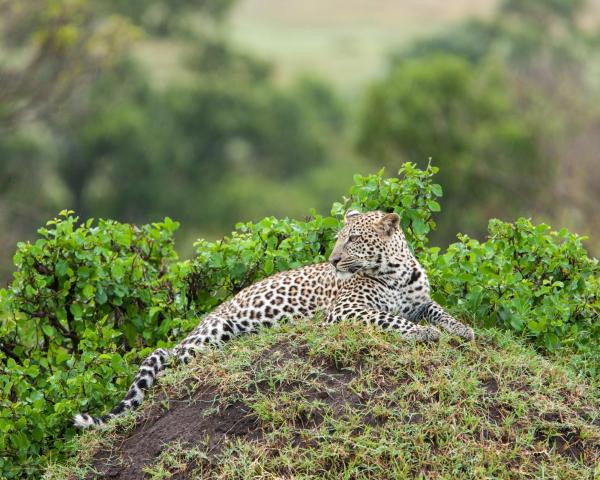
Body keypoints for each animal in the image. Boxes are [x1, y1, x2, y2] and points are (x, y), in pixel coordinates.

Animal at [74, 210, 474, 428]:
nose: (333, 259)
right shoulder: (346, 311)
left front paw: (462, 328)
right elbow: (392, 321)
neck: (396, 272)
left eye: (354, 240)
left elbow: (439, 312)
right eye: (339, 239)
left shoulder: (421, 301)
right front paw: (424, 334)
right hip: (211, 334)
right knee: (171, 362)